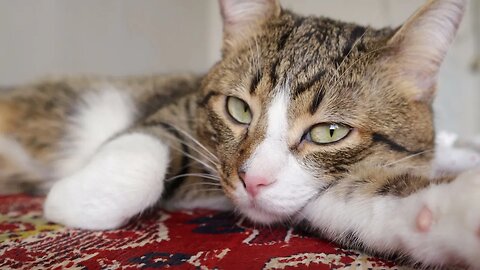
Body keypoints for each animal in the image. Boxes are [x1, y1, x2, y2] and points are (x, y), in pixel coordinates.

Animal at [0, 0, 480, 266]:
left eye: (329, 132)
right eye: (238, 109)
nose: (252, 180)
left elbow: (378, 199)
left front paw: (457, 209)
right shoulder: (180, 107)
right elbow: (139, 154)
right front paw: (71, 198)